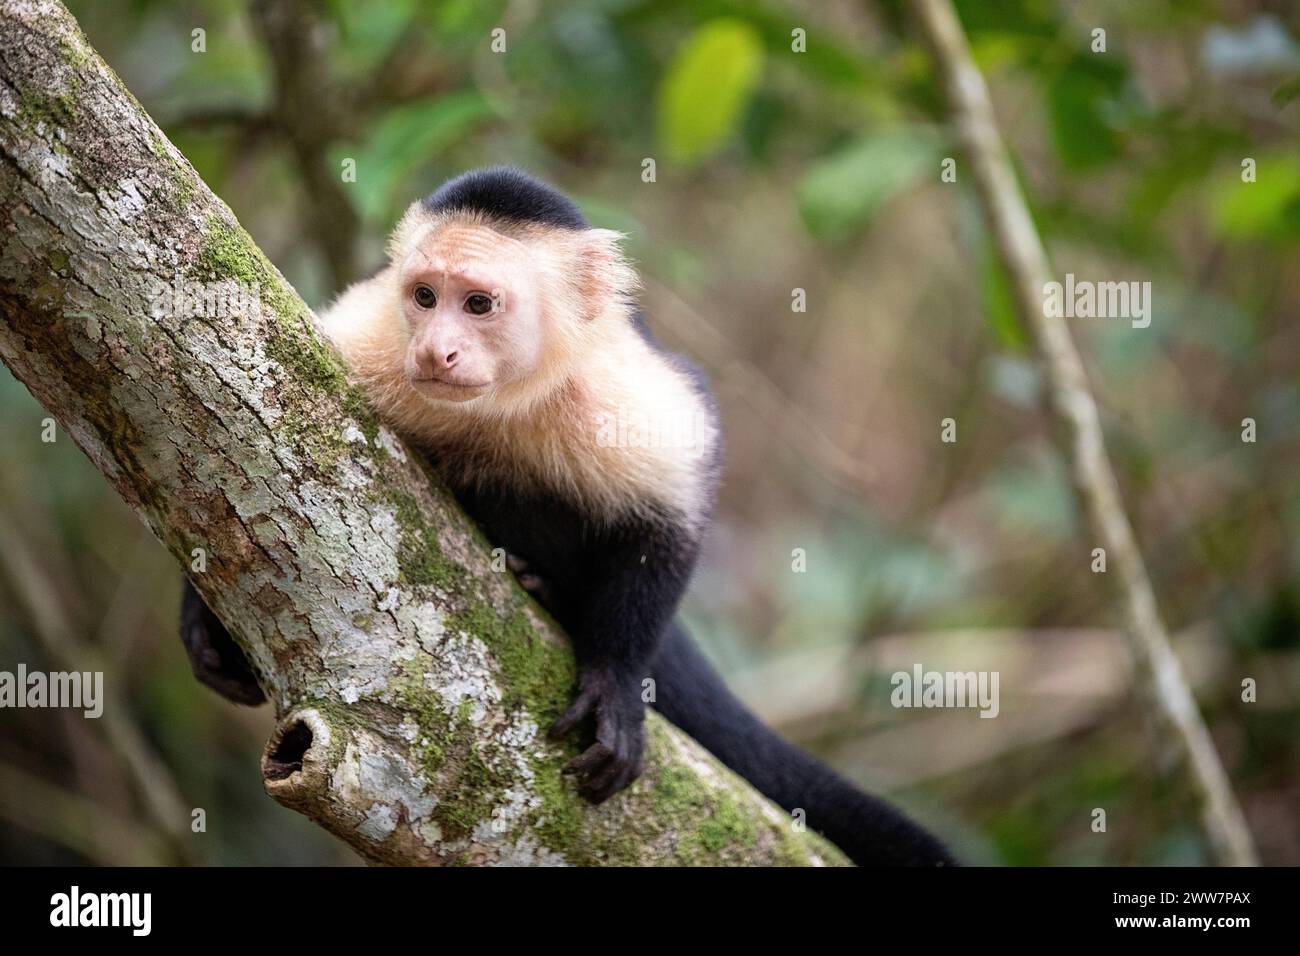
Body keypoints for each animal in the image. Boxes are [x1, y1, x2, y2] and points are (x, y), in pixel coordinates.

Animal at [179, 167, 954, 866]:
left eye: (479, 303)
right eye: (425, 297)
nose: (435, 349)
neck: (501, 406)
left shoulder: (620, 391)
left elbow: (672, 515)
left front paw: (615, 681)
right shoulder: (368, 341)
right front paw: (204, 619)